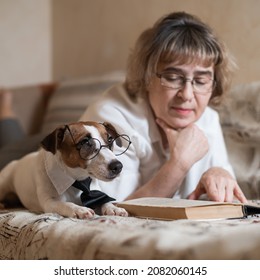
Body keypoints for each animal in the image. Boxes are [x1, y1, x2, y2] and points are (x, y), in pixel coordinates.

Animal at [0, 121, 130, 218]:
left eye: (110, 140)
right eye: (85, 142)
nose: (118, 166)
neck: (78, 180)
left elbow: (104, 200)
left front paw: (113, 207)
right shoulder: (49, 202)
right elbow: (65, 204)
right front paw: (78, 209)